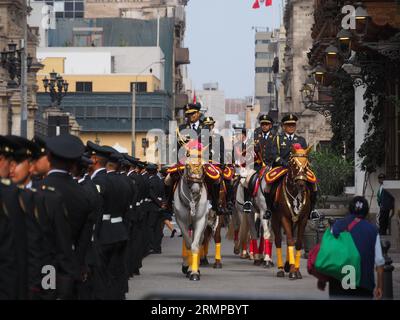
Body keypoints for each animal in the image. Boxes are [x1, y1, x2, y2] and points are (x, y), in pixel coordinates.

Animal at [270, 145, 314, 280]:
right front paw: (292, 270)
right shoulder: (284, 217)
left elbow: (298, 242)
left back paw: (287, 265)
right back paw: (280, 269)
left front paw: (296, 269)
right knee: (278, 240)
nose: (301, 183)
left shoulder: (303, 219)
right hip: (275, 218)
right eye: (293, 163)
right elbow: (289, 240)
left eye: (307, 164)